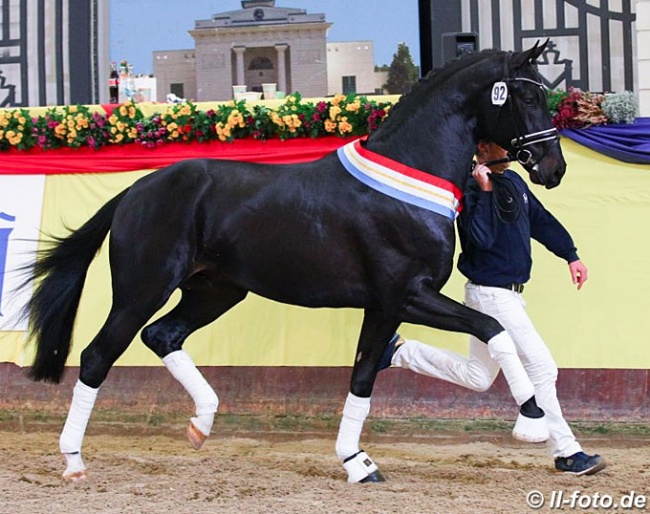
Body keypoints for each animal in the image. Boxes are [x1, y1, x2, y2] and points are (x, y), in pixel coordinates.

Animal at [24, 40, 560, 480]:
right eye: (528, 98)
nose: (553, 168)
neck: (409, 177)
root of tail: (135, 191)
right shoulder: (407, 294)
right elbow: (493, 328)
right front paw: (533, 419)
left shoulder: (383, 306)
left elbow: (363, 375)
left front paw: (357, 463)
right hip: (143, 288)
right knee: (97, 356)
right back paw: (74, 461)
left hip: (215, 290)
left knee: (162, 335)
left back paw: (202, 422)